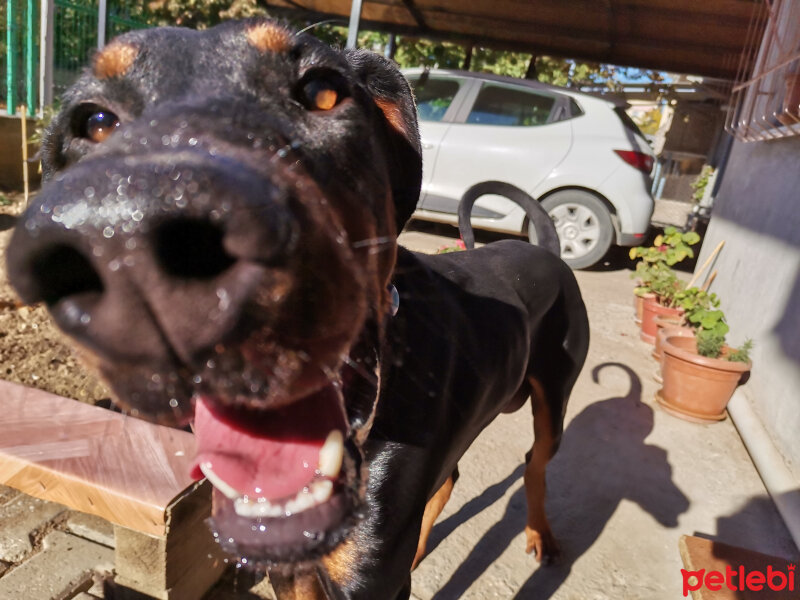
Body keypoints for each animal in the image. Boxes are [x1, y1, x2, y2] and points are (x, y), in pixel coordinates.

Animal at [4, 18, 588, 600]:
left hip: (554, 400)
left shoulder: (366, 574)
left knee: (535, 464)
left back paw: (542, 536)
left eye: (322, 90)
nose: (137, 239)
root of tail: (546, 249)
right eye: (94, 121)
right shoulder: (299, 569)